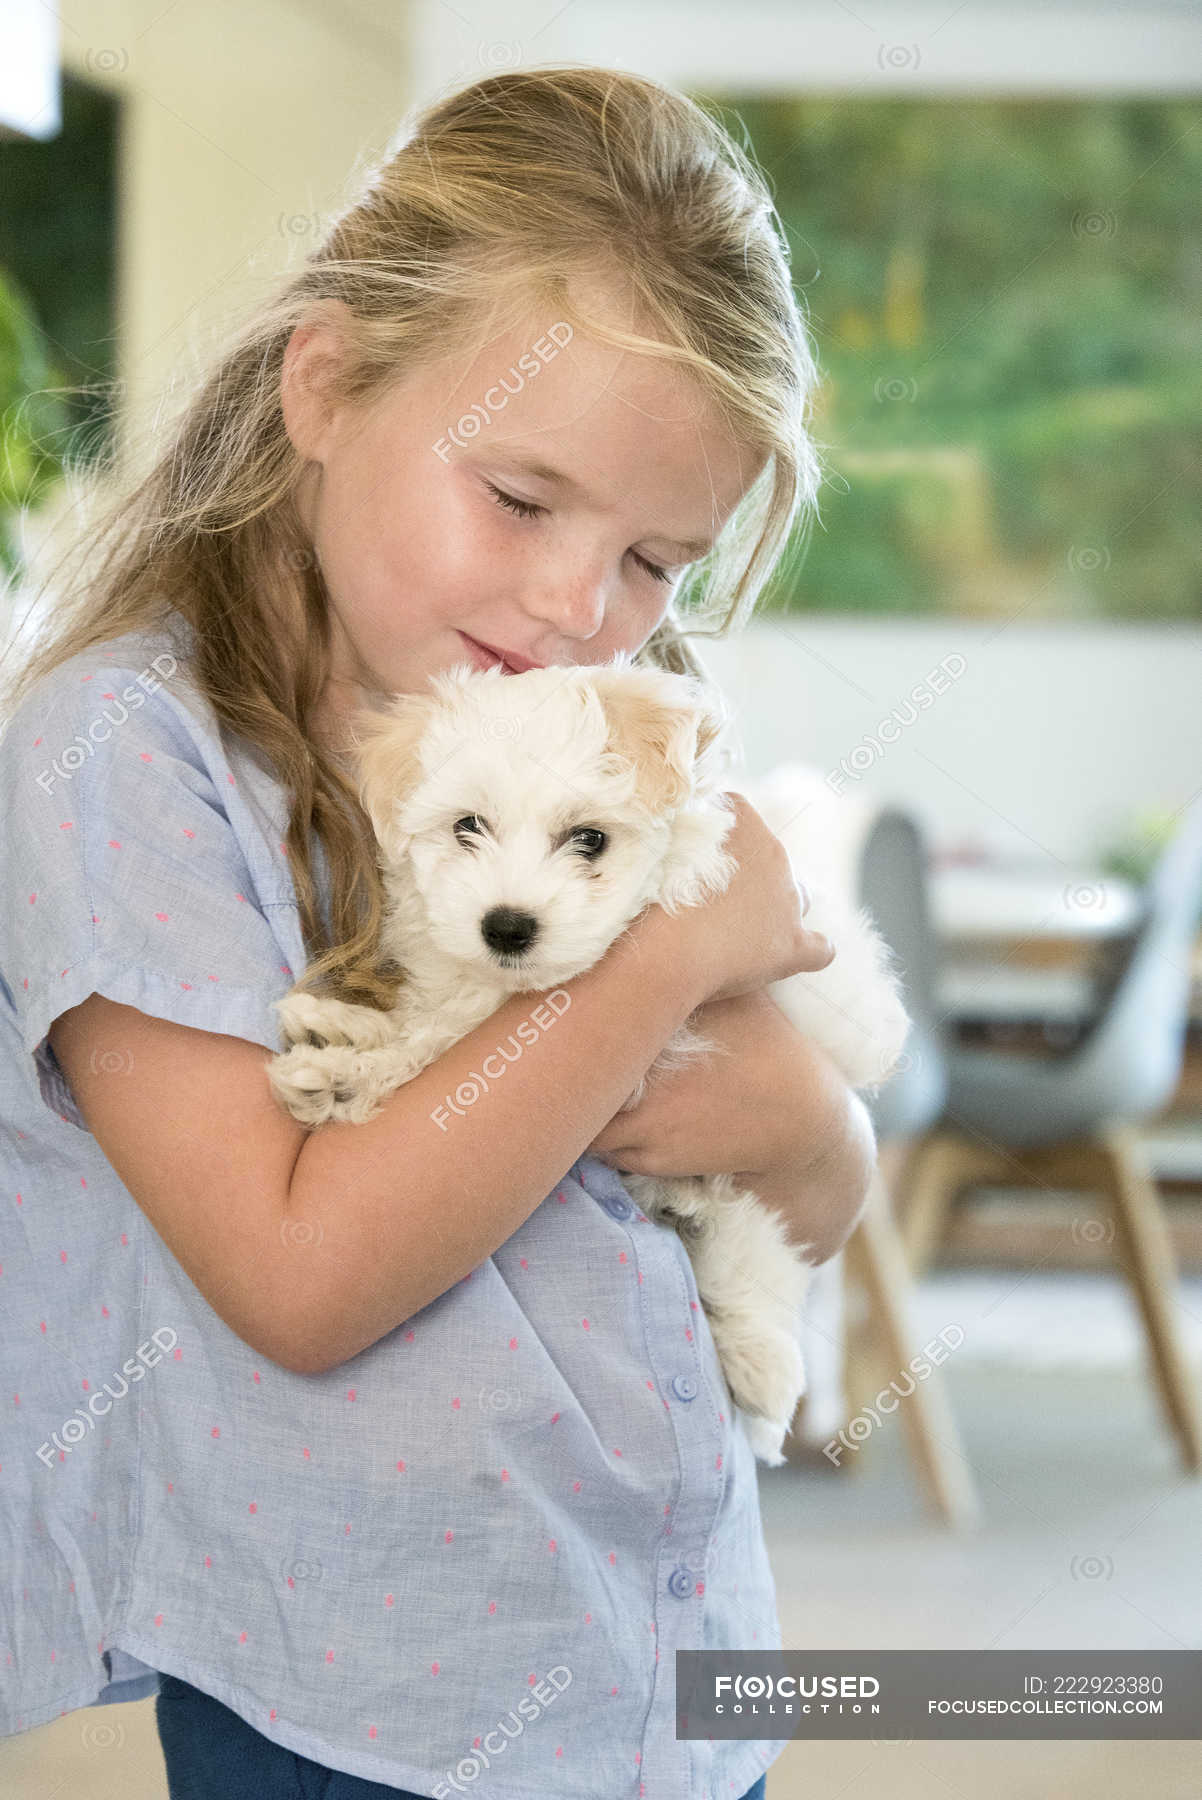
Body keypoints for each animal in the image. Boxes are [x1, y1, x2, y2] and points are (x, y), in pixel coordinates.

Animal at [269, 655, 910, 1468]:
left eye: (590, 840)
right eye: (467, 826)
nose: (507, 927)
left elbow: (445, 1039)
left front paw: (344, 1072)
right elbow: (438, 1015)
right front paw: (340, 1029)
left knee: (759, 1250)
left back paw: (764, 1369)